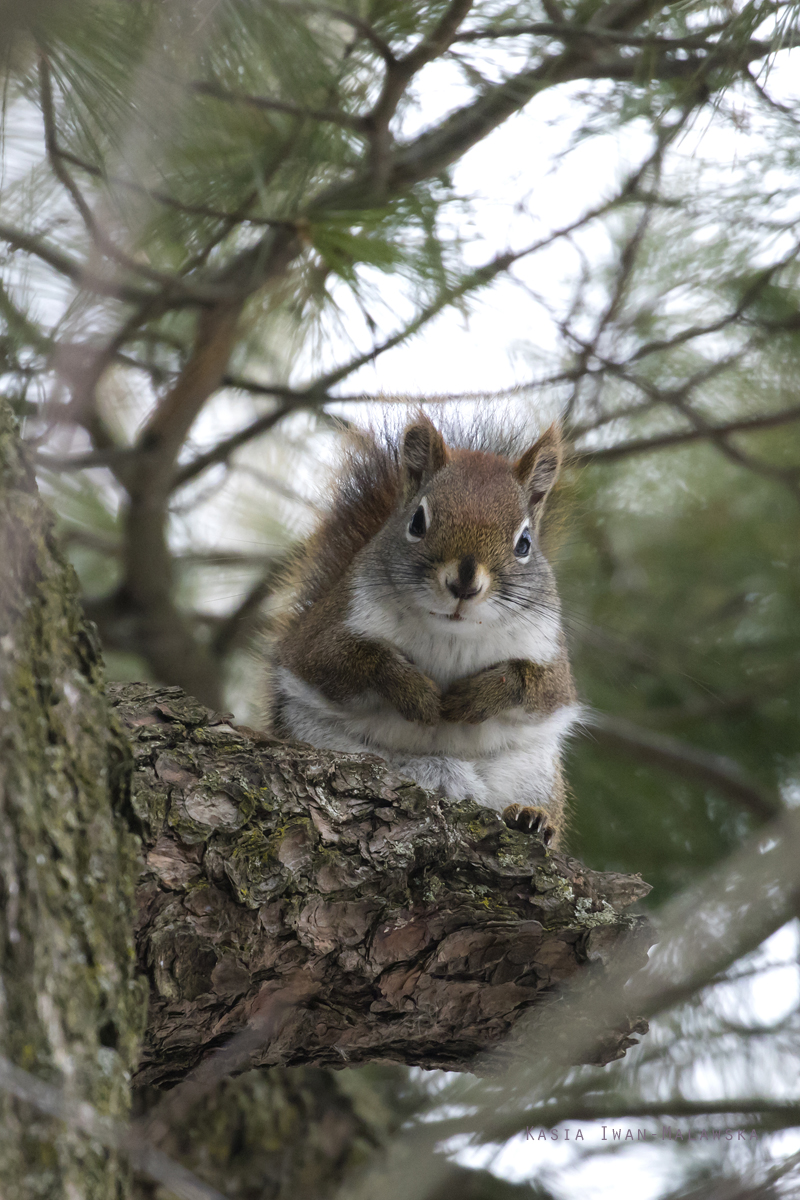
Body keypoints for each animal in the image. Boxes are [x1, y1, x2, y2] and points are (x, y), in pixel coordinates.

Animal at [268, 417, 582, 849]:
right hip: (313, 736)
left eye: (524, 543)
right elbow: (341, 660)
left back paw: (532, 818)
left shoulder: (548, 649)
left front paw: (477, 696)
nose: (464, 583)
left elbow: (540, 685)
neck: (453, 632)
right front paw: (415, 691)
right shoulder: (327, 628)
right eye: (417, 522)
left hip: (532, 771)